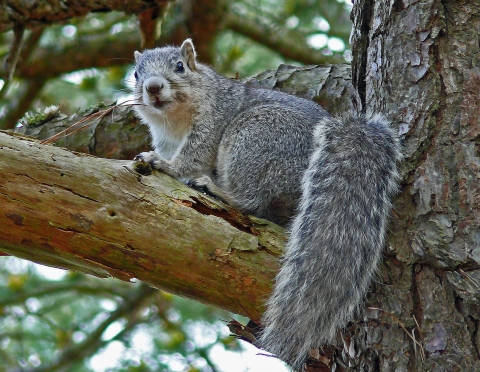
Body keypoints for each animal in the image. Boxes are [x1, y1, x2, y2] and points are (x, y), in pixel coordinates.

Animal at [132, 38, 402, 370]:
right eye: (136, 74)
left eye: (180, 67)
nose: (153, 86)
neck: (173, 120)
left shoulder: (212, 123)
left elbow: (192, 158)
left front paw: (165, 165)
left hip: (254, 137)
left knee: (253, 201)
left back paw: (219, 190)